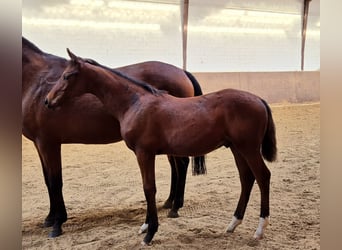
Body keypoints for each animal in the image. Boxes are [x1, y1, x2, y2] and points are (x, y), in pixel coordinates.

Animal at [24, 37, 207, 238]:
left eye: (66, 77)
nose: (48, 101)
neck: (35, 81)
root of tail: (182, 71)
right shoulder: (39, 144)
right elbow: (47, 180)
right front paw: (50, 218)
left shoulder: (48, 143)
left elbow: (55, 181)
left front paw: (57, 223)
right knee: (175, 167)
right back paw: (169, 202)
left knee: (181, 165)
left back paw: (175, 207)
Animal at [44, 49, 276, 245]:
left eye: (68, 75)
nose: (47, 101)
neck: (135, 103)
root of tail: (259, 99)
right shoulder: (147, 154)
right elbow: (148, 188)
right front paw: (146, 225)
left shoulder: (144, 153)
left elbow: (149, 188)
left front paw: (150, 232)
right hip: (237, 149)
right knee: (247, 179)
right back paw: (233, 223)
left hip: (248, 149)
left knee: (263, 176)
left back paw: (259, 229)